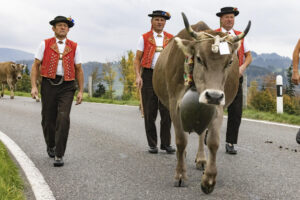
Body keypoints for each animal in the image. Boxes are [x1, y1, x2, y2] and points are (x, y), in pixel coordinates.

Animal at [152, 12, 251, 194]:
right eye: (198, 58)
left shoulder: (219, 106)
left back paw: (201, 160)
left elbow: (213, 141)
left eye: (229, 62)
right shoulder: (174, 104)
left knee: (201, 134)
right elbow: (181, 140)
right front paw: (180, 176)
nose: (213, 96)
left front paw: (209, 180)